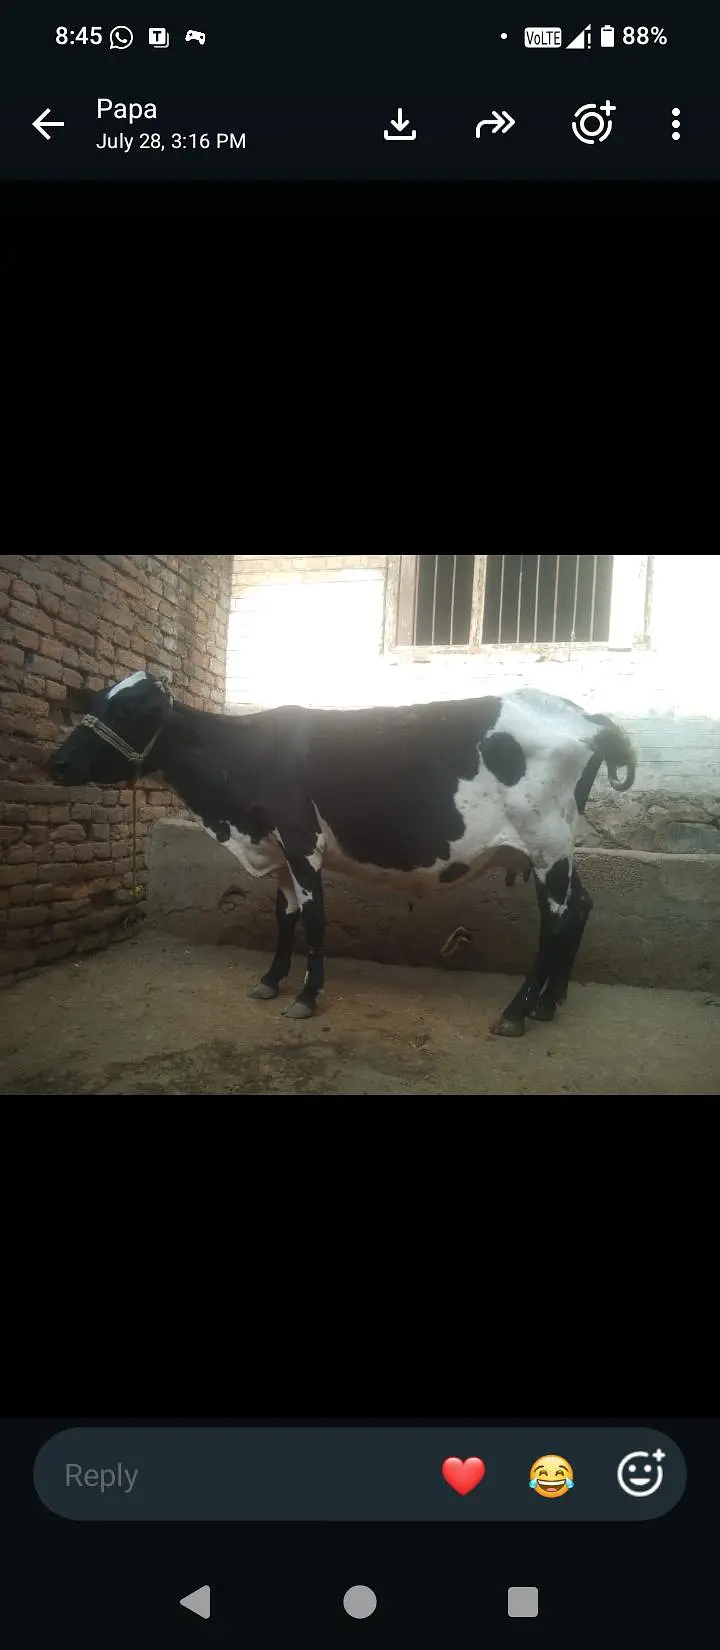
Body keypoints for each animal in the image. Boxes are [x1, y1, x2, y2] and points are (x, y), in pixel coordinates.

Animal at [47, 671, 636, 1037]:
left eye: (127, 709)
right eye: (95, 702)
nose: (57, 763)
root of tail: (587, 717)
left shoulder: (301, 838)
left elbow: (314, 918)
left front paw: (306, 997)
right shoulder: (278, 846)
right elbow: (283, 916)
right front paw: (269, 981)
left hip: (546, 841)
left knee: (557, 919)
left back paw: (517, 1012)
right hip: (552, 847)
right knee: (579, 906)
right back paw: (547, 1004)